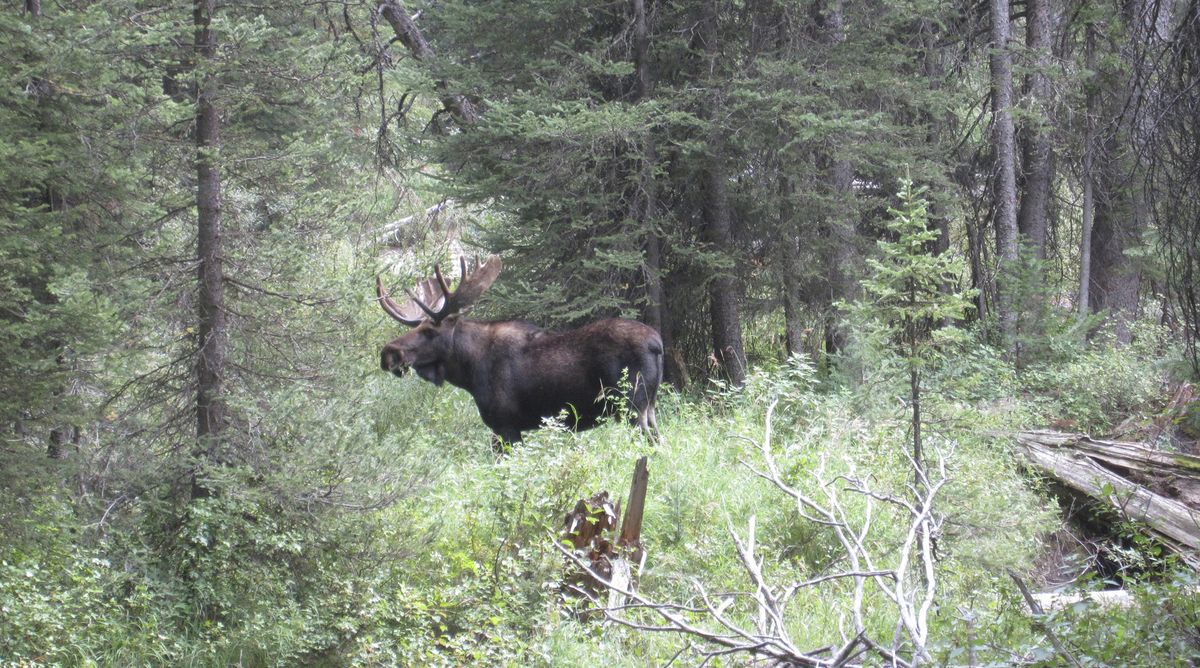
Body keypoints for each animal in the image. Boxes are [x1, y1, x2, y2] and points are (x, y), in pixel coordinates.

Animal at [376, 256, 662, 447]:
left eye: (430, 331)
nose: (388, 353)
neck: (469, 371)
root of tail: (656, 344)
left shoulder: (505, 426)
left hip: (632, 408)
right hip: (649, 407)